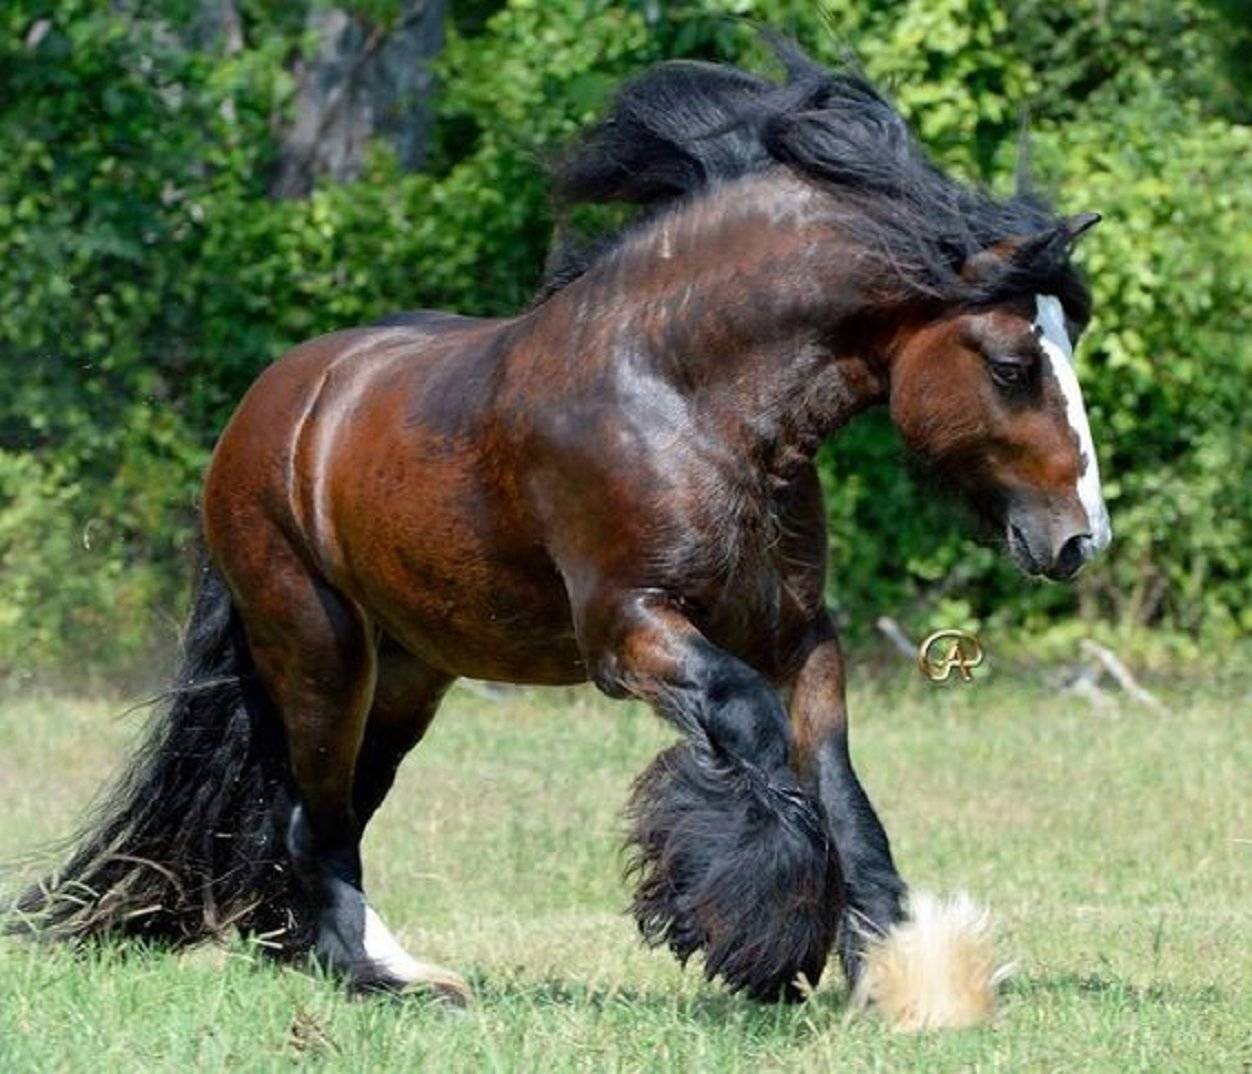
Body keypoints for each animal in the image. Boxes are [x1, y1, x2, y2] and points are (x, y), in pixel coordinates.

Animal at [9, 39, 1106, 1031]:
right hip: (319, 653)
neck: (684, 394)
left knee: (339, 808)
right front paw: (760, 941)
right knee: (309, 815)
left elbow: (838, 786)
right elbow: (750, 729)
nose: (1077, 540)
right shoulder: (629, 631)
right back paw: (389, 982)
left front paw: (903, 976)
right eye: (1013, 362)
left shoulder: (798, 632)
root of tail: (264, 418)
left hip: (406, 676)